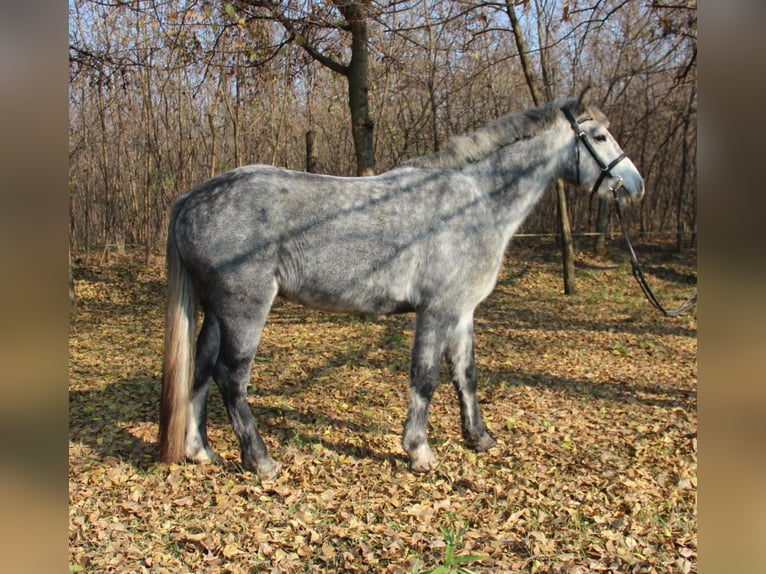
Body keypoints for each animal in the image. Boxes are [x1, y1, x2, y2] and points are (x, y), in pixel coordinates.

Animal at [159, 89, 644, 476]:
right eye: (600, 137)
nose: (635, 186)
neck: (475, 202)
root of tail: (192, 199)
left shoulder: (462, 312)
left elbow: (465, 375)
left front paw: (479, 438)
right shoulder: (437, 311)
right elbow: (425, 378)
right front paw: (419, 452)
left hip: (216, 311)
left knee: (201, 371)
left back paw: (200, 451)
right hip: (245, 309)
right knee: (230, 378)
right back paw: (260, 460)